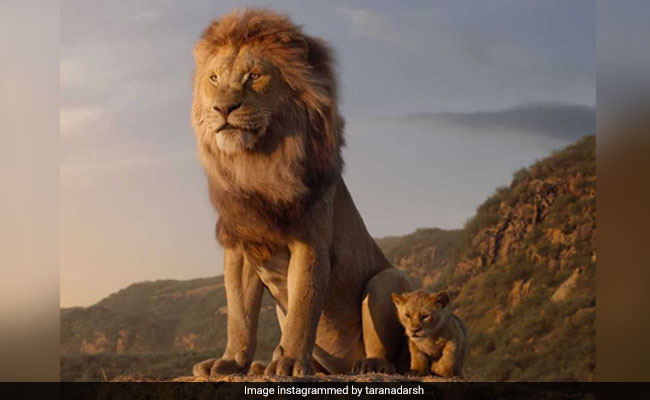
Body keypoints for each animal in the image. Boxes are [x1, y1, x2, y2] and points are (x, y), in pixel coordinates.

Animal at [190, 9, 415, 377]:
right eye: (213, 79)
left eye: (254, 76)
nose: (223, 108)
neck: (256, 164)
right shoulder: (241, 247)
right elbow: (239, 315)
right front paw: (231, 361)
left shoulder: (310, 242)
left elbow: (303, 309)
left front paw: (290, 361)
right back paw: (260, 366)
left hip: (388, 280)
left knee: (388, 350)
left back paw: (369, 364)